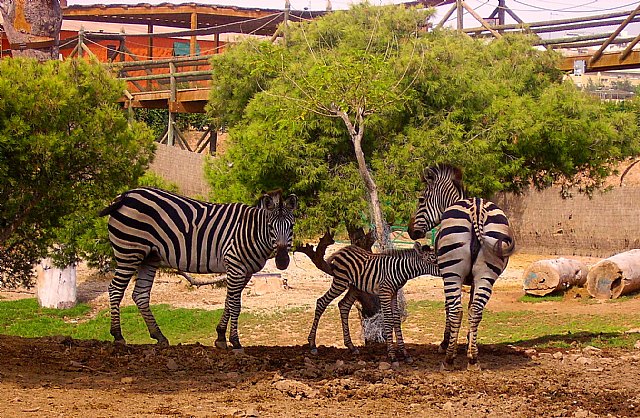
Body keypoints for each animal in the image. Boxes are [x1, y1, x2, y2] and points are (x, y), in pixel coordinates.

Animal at [99, 187, 297, 351]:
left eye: (292, 226)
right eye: (270, 227)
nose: (282, 261)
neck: (251, 232)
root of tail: (125, 195)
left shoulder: (245, 271)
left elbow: (228, 301)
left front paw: (220, 337)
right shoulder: (235, 266)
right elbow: (235, 305)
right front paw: (235, 342)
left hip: (149, 257)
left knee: (140, 294)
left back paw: (159, 336)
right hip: (129, 252)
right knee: (115, 289)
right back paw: (118, 336)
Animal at [308, 242, 439, 366]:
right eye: (433, 259)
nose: (443, 270)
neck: (399, 270)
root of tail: (342, 249)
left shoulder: (394, 293)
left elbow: (396, 319)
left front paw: (405, 353)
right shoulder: (384, 292)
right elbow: (388, 319)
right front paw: (392, 355)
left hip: (354, 287)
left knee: (343, 305)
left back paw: (351, 346)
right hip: (340, 282)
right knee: (321, 302)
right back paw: (312, 345)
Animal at [408, 163, 515, 371]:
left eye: (421, 199)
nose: (410, 231)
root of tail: (477, 209)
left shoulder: (443, 274)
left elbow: (447, 308)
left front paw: (445, 343)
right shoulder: (473, 281)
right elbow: (472, 306)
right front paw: (469, 342)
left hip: (452, 273)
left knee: (456, 311)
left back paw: (449, 359)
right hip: (487, 274)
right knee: (476, 310)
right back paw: (473, 359)